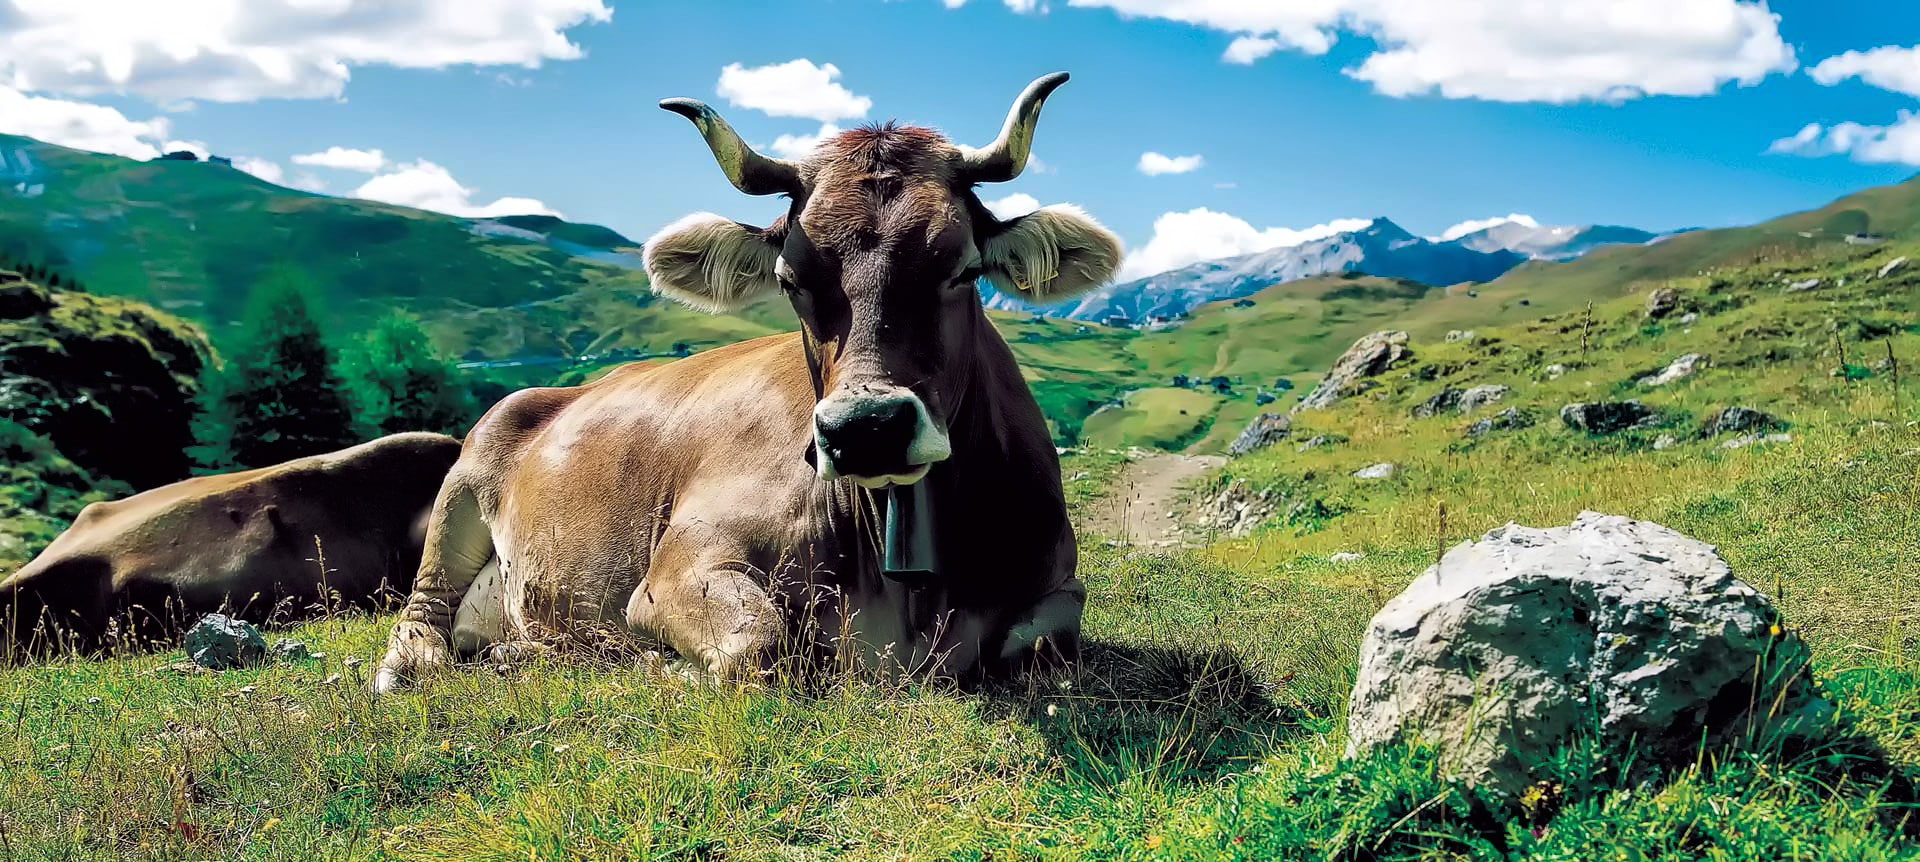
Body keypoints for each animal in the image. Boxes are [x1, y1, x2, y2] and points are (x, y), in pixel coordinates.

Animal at [371, 73, 1121, 693]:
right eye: (791, 280)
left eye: (964, 268)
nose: (868, 429)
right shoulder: (680, 564)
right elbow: (755, 644)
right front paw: (657, 663)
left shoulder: (1060, 586)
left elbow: (1044, 644)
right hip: (460, 492)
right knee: (421, 617)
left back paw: (517, 651)